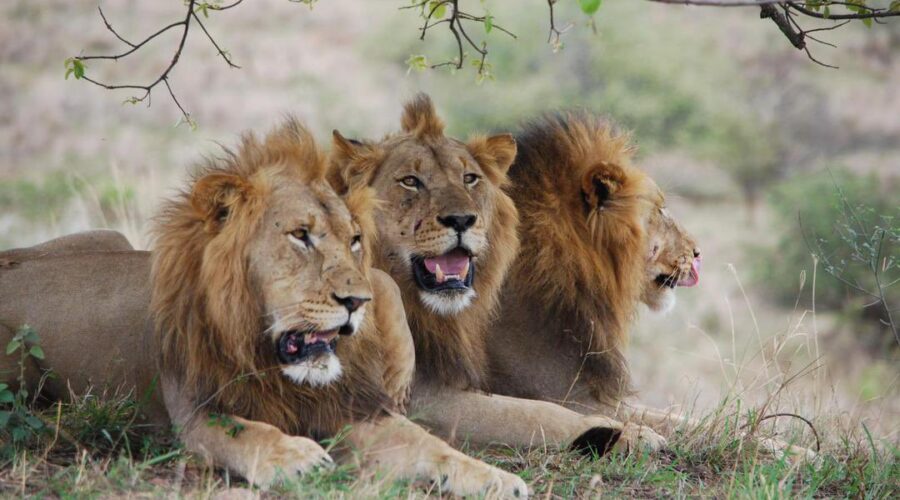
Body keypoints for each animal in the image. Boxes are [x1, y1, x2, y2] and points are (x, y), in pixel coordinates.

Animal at [0, 119, 526, 497]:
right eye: (300, 235)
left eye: (355, 240)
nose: (355, 302)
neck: (269, 356)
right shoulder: (196, 410)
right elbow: (247, 433)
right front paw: (296, 457)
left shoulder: (348, 408)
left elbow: (427, 443)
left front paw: (492, 477)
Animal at [329, 94, 664, 455]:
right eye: (410, 181)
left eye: (469, 178)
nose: (462, 219)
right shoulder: (419, 397)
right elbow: (532, 413)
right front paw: (627, 434)